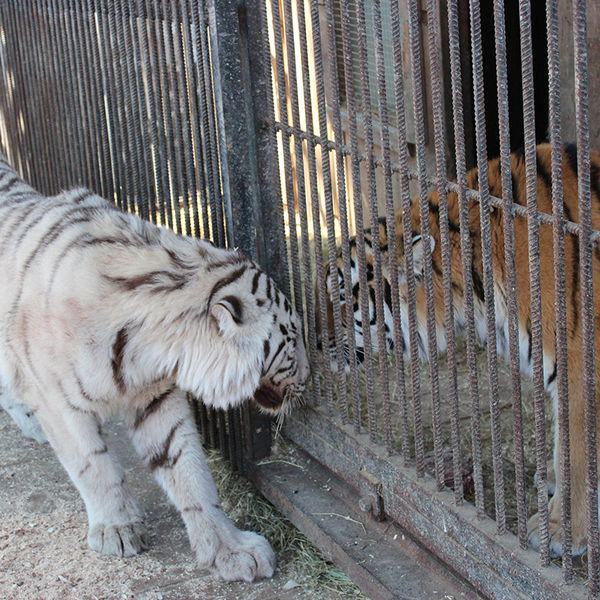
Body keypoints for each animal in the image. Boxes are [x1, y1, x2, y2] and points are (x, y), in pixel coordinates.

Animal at [0, 154, 310, 582]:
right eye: (292, 341)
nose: (310, 377)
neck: (138, 349)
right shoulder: (58, 401)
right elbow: (93, 466)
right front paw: (116, 530)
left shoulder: (154, 396)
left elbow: (189, 472)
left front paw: (228, 549)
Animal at [321, 142, 600, 558]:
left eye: (341, 297)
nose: (315, 343)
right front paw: (550, 479)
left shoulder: (581, 370)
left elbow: (577, 451)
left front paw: (560, 529)